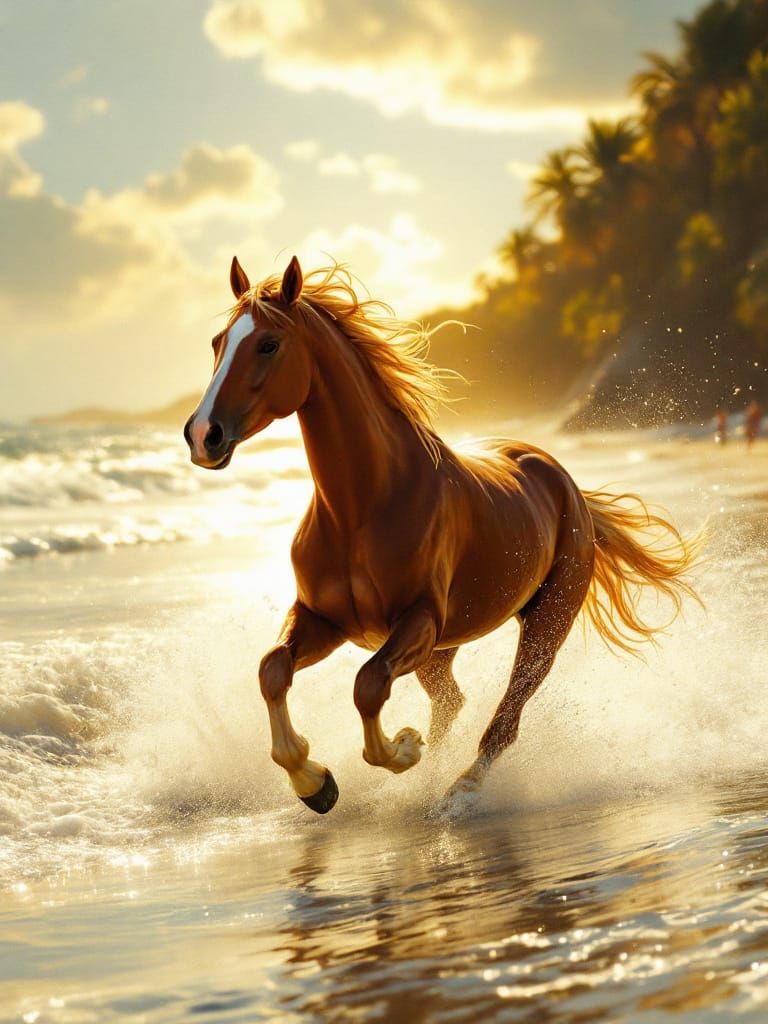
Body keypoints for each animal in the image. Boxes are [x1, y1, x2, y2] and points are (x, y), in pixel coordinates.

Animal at [184, 255, 700, 815]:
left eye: (268, 344)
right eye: (217, 342)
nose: (202, 435)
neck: (362, 507)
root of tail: (562, 481)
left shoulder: (419, 621)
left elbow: (367, 685)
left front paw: (402, 750)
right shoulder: (325, 619)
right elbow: (273, 670)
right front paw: (314, 781)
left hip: (545, 625)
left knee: (506, 717)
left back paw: (460, 790)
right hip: (442, 651)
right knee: (452, 701)